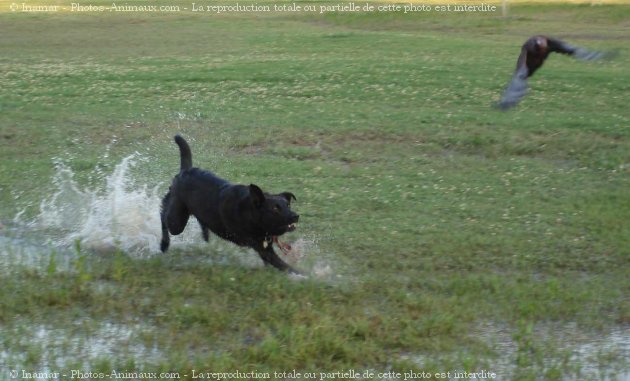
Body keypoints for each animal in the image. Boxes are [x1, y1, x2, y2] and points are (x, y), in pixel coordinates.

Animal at [162, 134, 302, 274]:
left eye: (288, 205)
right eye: (275, 208)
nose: (296, 216)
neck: (250, 212)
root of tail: (185, 170)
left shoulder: (265, 246)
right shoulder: (262, 248)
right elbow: (285, 266)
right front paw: (302, 275)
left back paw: (205, 233)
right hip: (176, 222)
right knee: (163, 212)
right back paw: (164, 244)